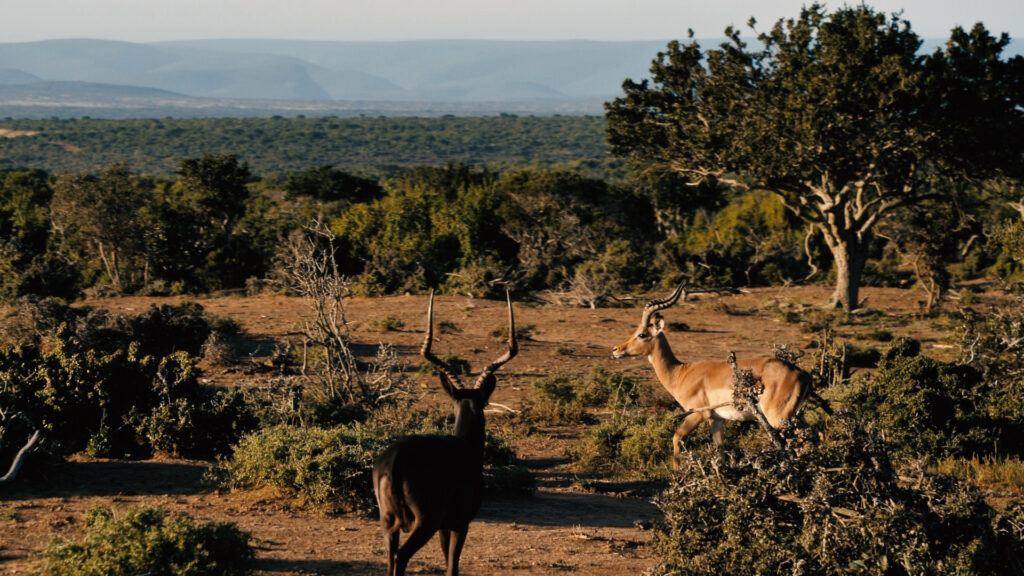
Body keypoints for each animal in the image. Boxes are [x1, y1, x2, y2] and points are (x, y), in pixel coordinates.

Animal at [374, 291, 520, 573]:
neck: (464, 447)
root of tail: (396, 460)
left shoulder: (444, 526)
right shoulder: (459, 524)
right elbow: (452, 567)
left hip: (388, 524)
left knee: (389, 559)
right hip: (424, 523)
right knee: (401, 557)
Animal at [610, 282, 811, 467]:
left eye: (642, 334)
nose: (616, 349)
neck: (681, 373)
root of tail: (803, 375)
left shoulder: (697, 414)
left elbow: (676, 438)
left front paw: (676, 474)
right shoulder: (716, 420)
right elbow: (719, 449)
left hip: (778, 419)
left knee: (802, 444)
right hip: (794, 417)